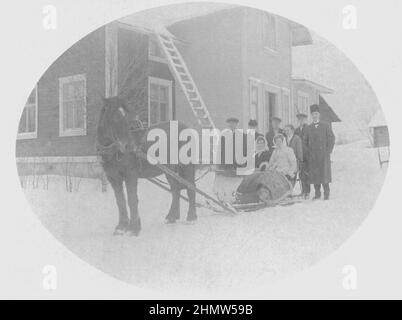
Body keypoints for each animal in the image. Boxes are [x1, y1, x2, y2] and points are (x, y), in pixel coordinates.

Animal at [94, 95, 195, 235]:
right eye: (115, 116)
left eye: (129, 114)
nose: (128, 145)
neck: (114, 151)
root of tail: (185, 127)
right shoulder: (113, 178)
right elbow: (120, 201)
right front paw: (121, 226)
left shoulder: (130, 175)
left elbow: (132, 199)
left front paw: (134, 228)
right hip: (169, 170)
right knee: (175, 190)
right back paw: (172, 217)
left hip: (187, 166)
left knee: (191, 188)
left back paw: (191, 217)